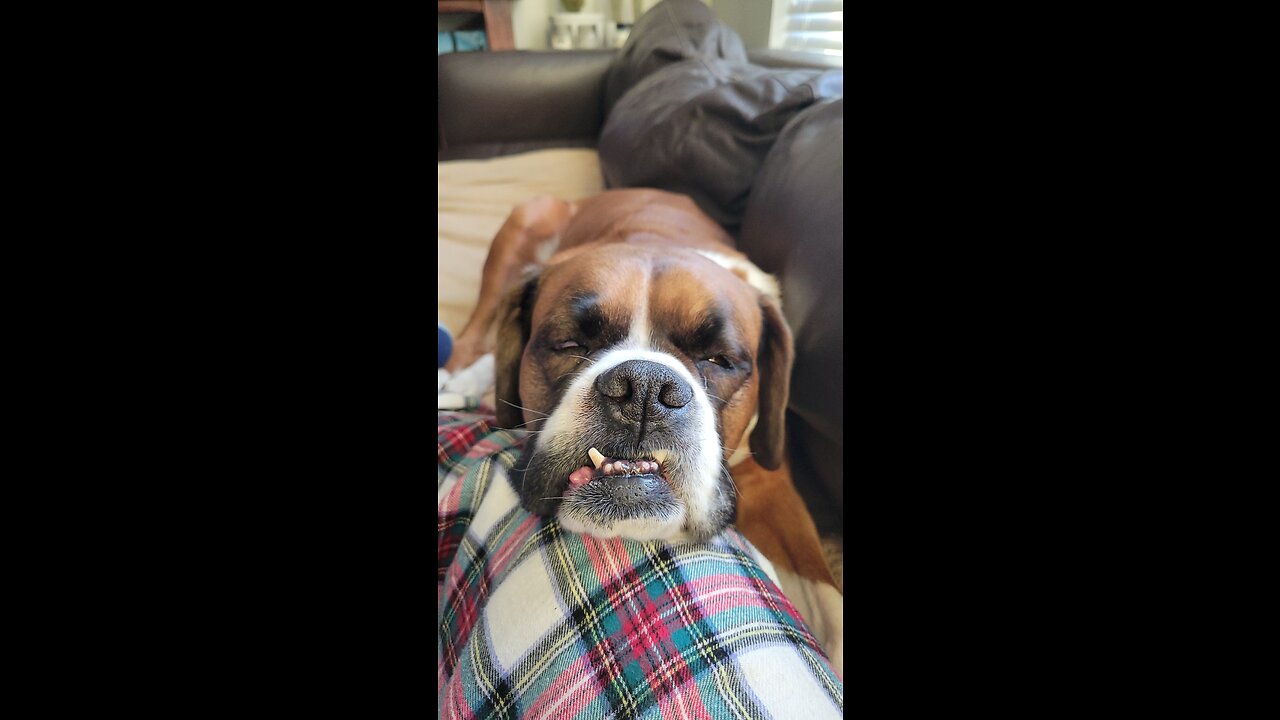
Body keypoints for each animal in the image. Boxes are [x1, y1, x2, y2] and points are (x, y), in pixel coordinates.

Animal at [448, 188, 839, 671]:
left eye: (720, 360)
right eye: (568, 344)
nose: (645, 389)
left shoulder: (772, 487)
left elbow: (828, 595)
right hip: (526, 220)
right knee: (474, 334)